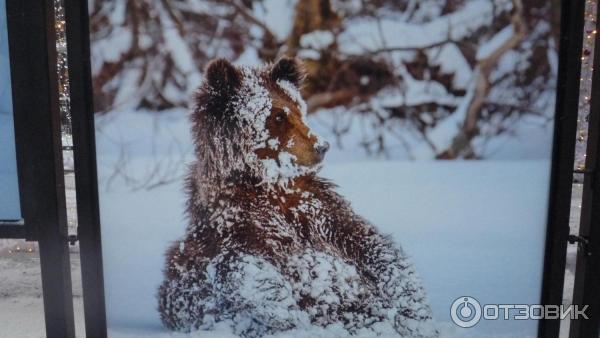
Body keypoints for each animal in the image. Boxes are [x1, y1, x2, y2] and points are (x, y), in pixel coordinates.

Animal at [157, 56, 438, 336]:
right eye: (278, 116)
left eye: (299, 109)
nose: (322, 146)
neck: (272, 186)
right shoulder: (233, 226)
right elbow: (243, 267)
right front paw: (288, 313)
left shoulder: (321, 211)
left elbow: (374, 245)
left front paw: (413, 307)